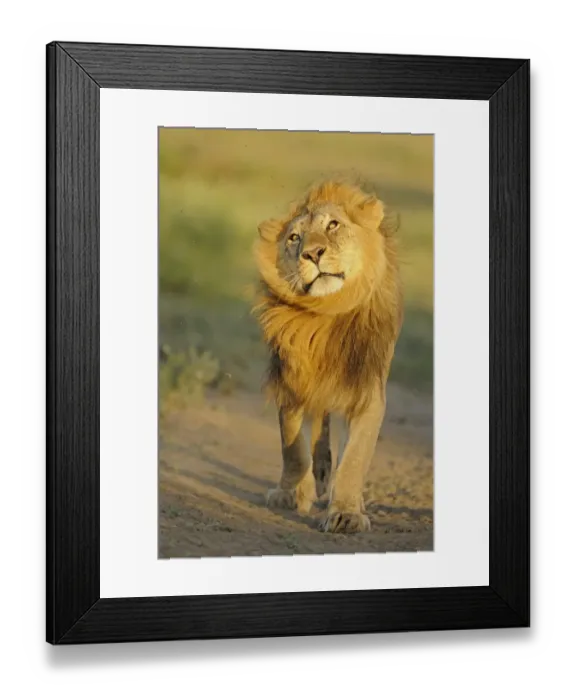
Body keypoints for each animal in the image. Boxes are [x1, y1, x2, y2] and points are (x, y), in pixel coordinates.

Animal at [252, 180, 403, 533]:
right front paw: (290, 493)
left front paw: (347, 512)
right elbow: (292, 446)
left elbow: (355, 458)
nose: (312, 254)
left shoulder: (367, 389)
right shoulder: (291, 379)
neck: (326, 313)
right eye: (294, 238)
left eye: (333, 225)